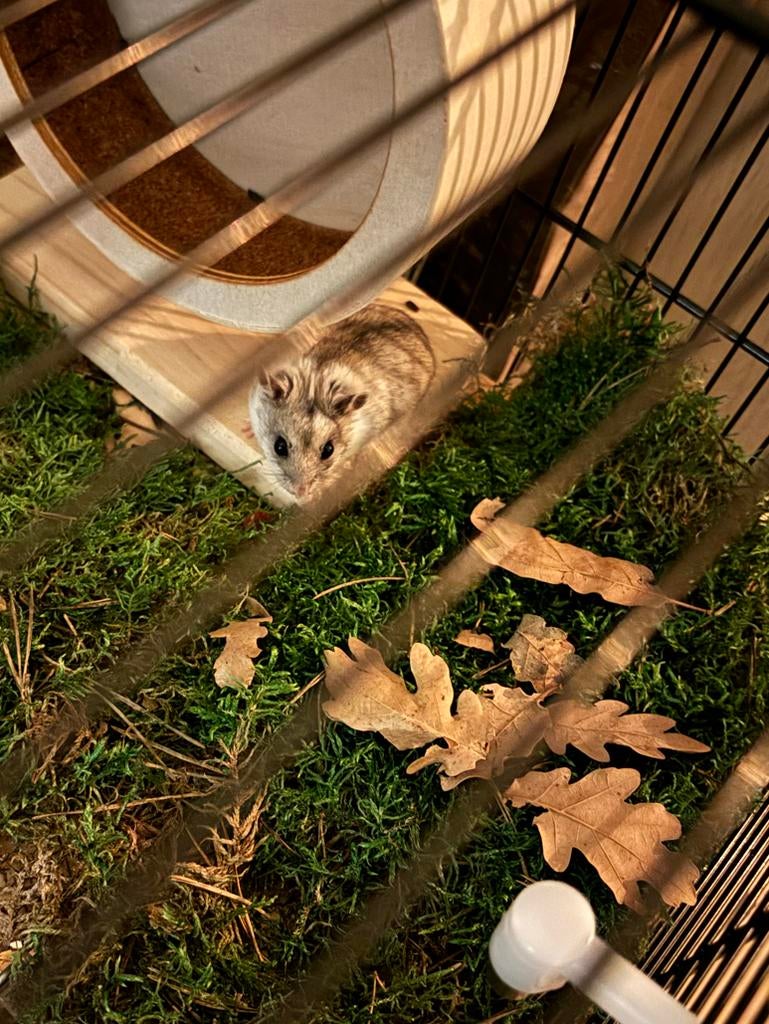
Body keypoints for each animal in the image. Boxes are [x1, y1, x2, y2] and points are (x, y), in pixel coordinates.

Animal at [246, 303, 435, 504]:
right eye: (279, 446)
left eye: (328, 450)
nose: (301, 493)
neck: (315, 387)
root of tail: (416, 326)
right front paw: (247, 429)